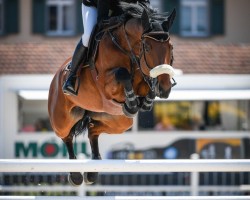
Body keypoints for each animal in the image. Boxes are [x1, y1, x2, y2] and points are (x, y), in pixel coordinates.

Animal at [48, 2, 176, 184]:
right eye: (147, 47)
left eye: (170, 47)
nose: (165, 88)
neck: (127, 48)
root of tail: (57, 76)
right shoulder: (105, 84)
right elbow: (122, 73)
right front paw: (132, 102)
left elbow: (146, 85)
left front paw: (145, 101)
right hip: (62, 118)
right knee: (66, 136)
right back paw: (75, 175)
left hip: (120, 121)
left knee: (93, 129)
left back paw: (93, 171)